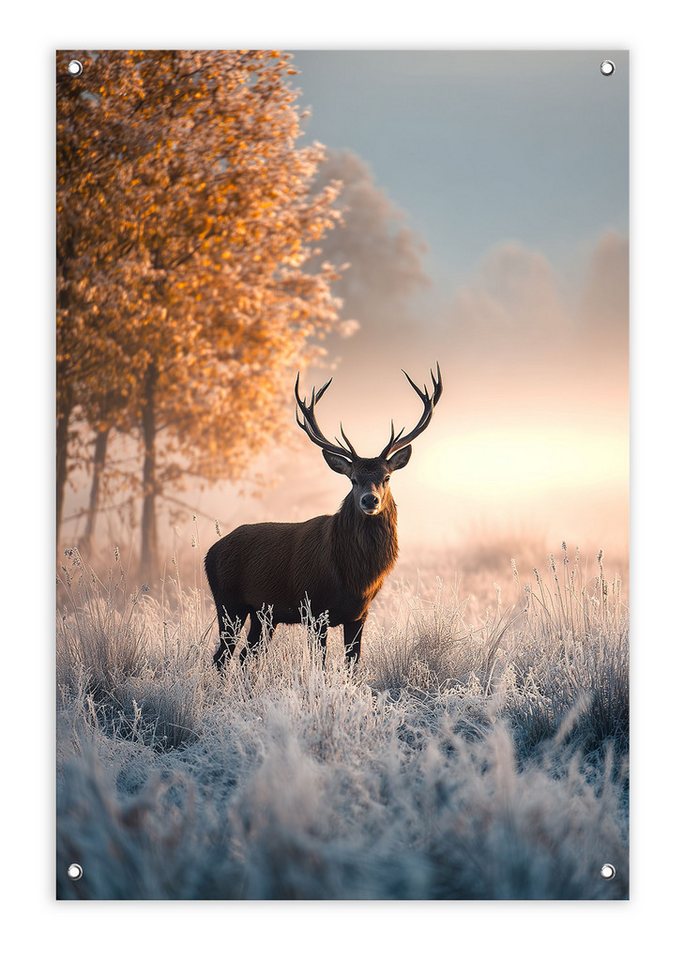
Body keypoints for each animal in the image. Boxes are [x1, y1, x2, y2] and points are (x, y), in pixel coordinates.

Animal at [204, 364, 443, 670]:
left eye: (387, 477)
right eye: (353, 480)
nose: (370, 500)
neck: (354, 576)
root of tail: (210, 552)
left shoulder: (359, 614)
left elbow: (353, 663)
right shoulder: (314, 609)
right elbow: (320, 663)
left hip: (262, 613)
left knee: (247, 655)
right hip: (227, 601)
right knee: (222, 657)